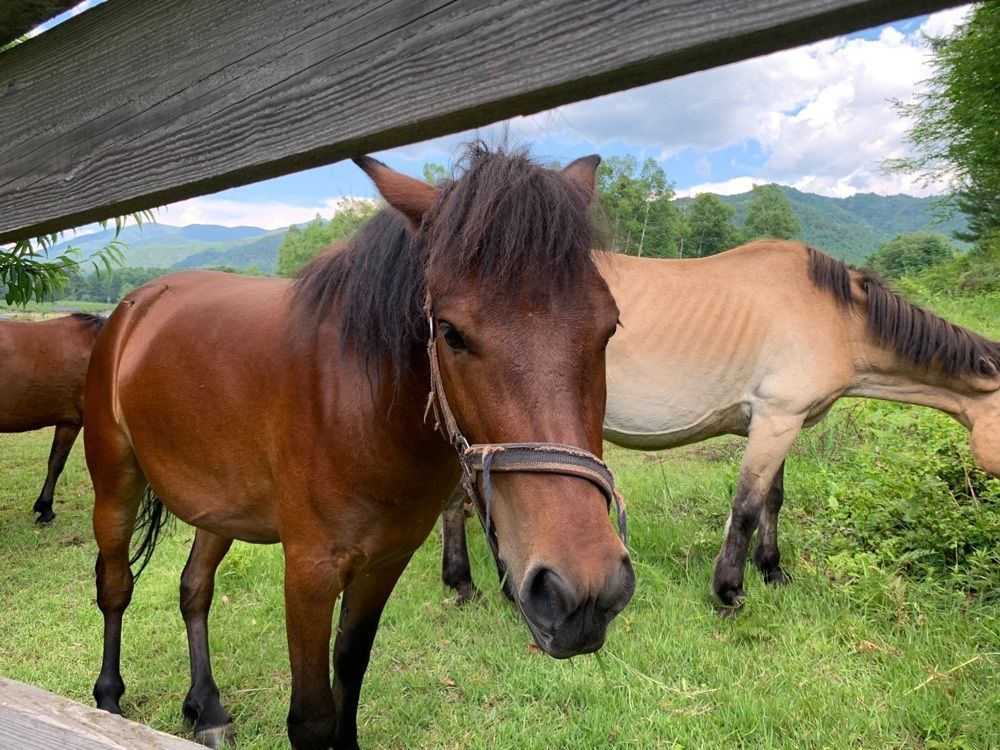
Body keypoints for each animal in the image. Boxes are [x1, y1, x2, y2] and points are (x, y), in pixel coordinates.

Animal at [83, 145, 635, 750]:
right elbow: (311, 715)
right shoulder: (309, 572)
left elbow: (350, 666)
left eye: (610, 327)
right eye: (451, 333)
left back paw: (206, 707)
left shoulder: (385, 562)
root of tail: (133, 308)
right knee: (115, 587)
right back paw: (107, 703)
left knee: (194, 588)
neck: (360, 412)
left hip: (218, 508)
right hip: (114, 486)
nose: (583, 590)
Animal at [442, 241, 1000, 612]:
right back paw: (466, 585)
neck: (838, 319)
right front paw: (729, 591)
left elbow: (772, 500)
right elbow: (747, 507)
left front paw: (773, 570)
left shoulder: (780, 423)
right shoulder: (777, 419)